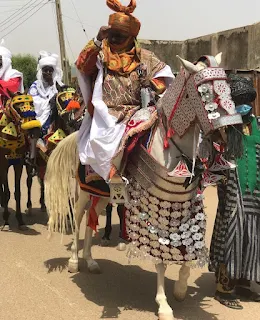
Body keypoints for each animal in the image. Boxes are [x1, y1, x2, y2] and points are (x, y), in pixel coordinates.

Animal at [44, 54, 242, 320]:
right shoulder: (153, 211)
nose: (229, 133)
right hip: (83, 192)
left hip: (104, 194)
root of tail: (77, 137)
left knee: (91, 221)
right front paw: (164, 304)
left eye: (227, 87)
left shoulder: (185, 206)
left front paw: (181, 289)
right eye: (204, 93)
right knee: (78, 219)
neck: (172, 151)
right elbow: (160, 258)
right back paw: (74, 261)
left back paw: (91, 261)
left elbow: (188, 251)